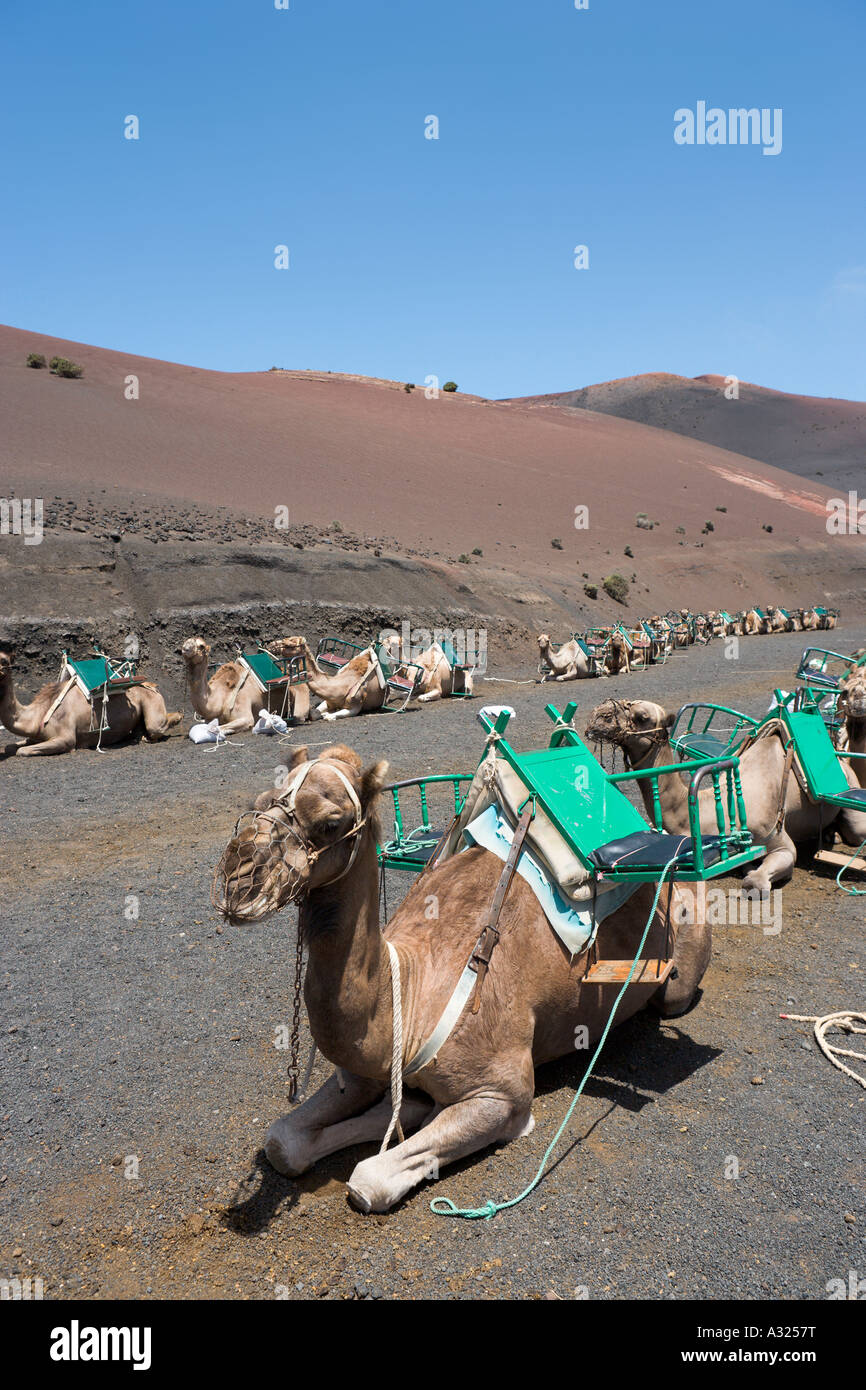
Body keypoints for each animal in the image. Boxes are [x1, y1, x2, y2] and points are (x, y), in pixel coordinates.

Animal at [0, 644, 180, 756]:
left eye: (3, 660)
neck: (38, 714)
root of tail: (151, 684)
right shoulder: (36, 736)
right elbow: (11, 747)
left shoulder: (66, 738)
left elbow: (22, 751)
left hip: (152, 701)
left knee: (156, 727)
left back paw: (178, 716)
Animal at [180, 636, 309, 733]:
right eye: (185, 642)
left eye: (201, 646)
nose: (185, 649)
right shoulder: (209, 719)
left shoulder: (246, 717)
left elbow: (216, 729)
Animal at [214, 745, 717, 1212]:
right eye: (263, 800)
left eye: (330, 822)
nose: (238, 880)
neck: (412, 987)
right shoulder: (362, 1072)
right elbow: (282, 1141)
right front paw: (406, 1107)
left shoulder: (502, 1092)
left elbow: (369, 1181)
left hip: (679, 963)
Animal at [586, 695, 866, 889]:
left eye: (642, 716)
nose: (599, 715)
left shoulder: (778, 839)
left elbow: (756, 880)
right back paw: (829, 835)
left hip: (852, 799)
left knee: (855, 831)